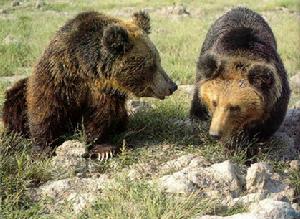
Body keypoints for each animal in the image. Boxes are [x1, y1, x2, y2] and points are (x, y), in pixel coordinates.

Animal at [190, 7, 290, 151]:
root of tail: (240, 7)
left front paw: (246, 146)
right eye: (214, 102)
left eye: (235, 107)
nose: (215, 134)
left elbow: (265, 127)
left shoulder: (275, 101)